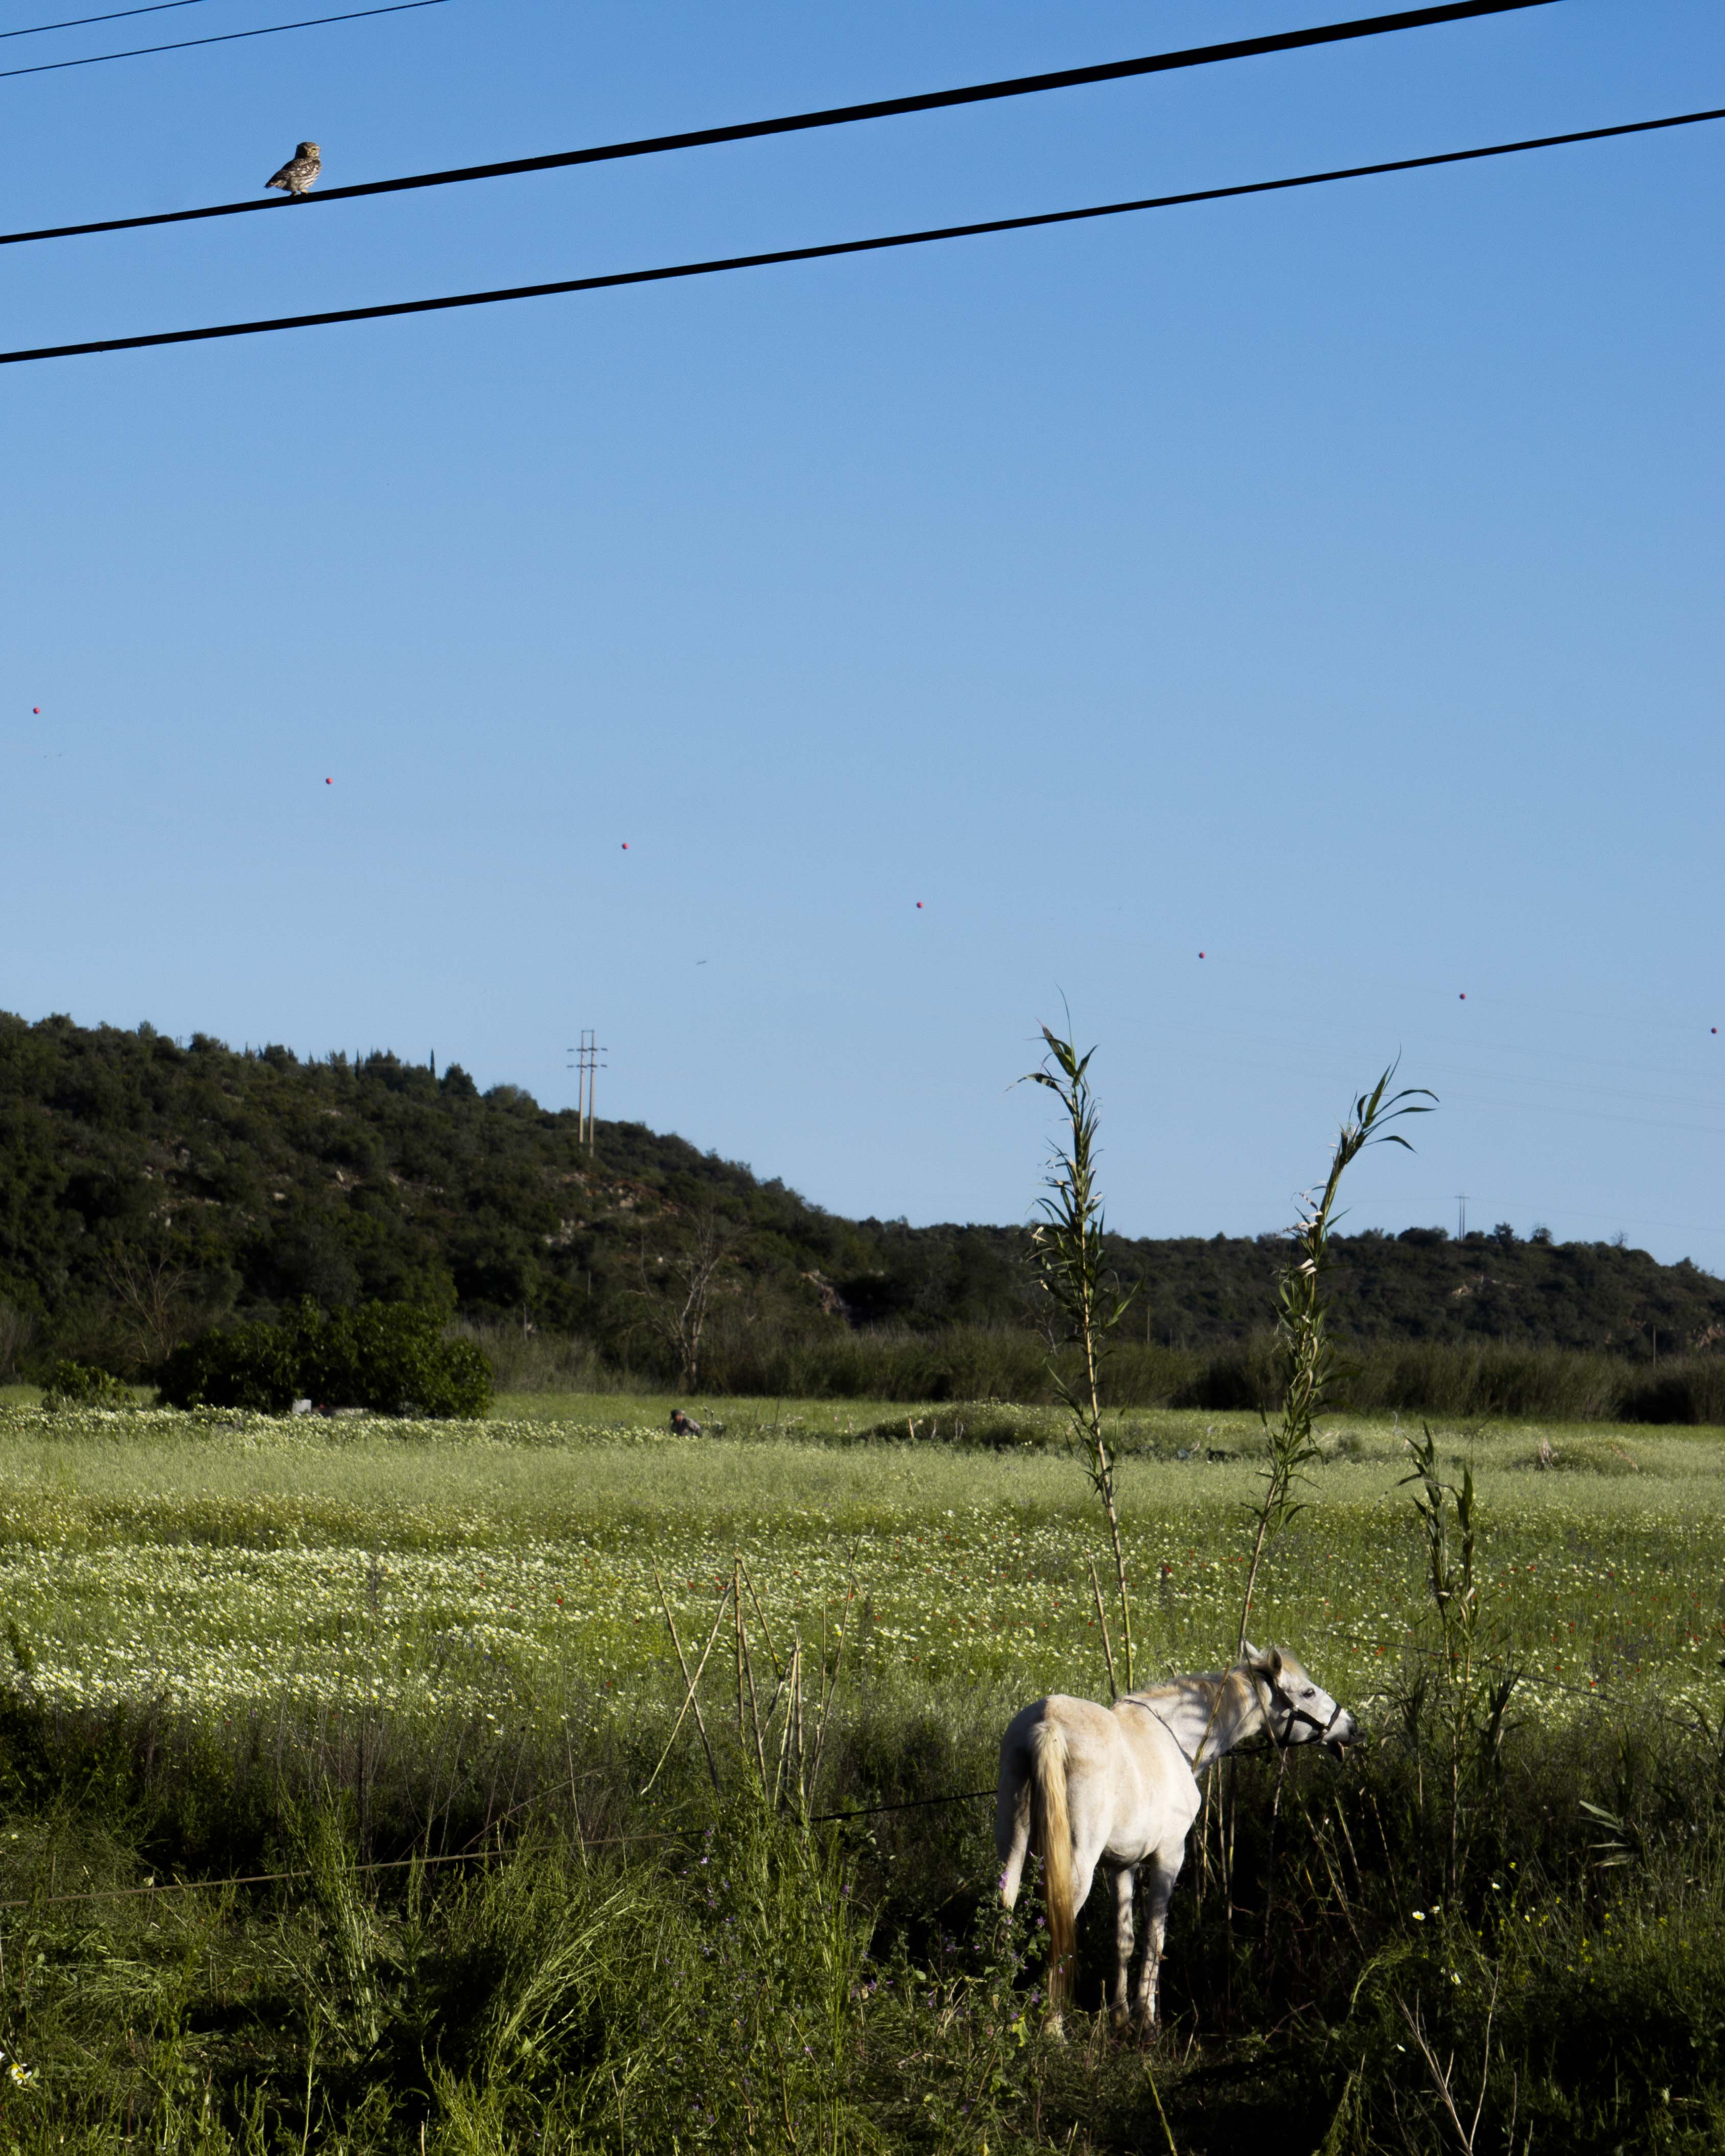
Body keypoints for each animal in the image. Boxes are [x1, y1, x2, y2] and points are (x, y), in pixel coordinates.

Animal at [1005, 1638, 1354, 2026]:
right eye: (1308, 1692)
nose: (1352, 1728)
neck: (1176, 1738)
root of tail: (1048, 1723)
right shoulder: (1169, 1858)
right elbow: (1155, 1938)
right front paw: (1146, 2020)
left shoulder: (1122, 1866)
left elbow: (1124, 1940)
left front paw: (1121, 2016)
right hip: (1076, 1864)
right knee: (1059, 1926)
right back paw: (1054, 2027)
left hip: (1013, 1845)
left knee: (1005, 1901)